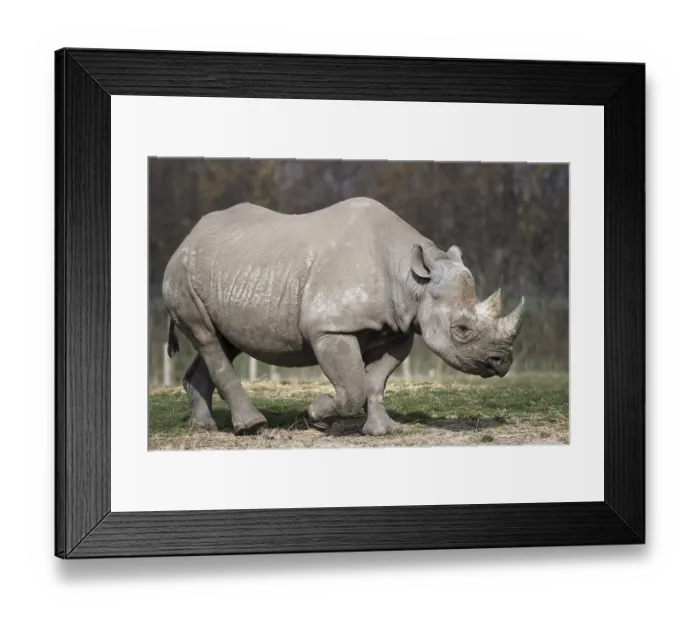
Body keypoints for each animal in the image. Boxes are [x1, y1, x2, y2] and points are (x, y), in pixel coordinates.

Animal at [162, 197, 525, 436]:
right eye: (461, 328)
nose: (502, 362)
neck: (413, 280)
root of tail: (185, 240)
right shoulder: (330, 327)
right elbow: (352, 388)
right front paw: (318, 415)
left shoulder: (398, 329)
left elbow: (374, 381)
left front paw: (384, 431)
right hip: (181, 274)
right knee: (208, 338)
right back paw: (252, 426)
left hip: (226, 268)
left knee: (224, 341)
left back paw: (203, 427)